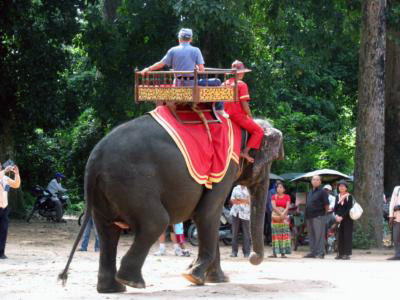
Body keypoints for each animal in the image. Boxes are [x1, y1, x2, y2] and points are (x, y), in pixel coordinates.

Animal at [59, 114, 284, 292]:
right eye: (269, 163)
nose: (252, 257)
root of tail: (94, 160)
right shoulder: (225, 166)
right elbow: (208, 214)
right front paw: (194, 275)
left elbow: (207, 219)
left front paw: (216, 279)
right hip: (132, 184)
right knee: (156, 222)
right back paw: (132, 282)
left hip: (106, 193)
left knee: (108, 231)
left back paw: (113, 288)